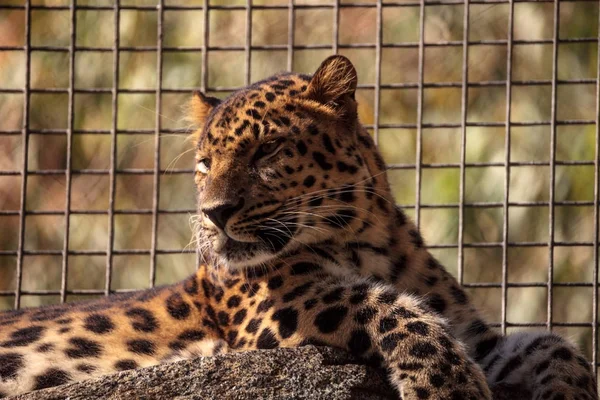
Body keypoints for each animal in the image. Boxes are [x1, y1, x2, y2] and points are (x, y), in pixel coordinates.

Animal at [0, 54, 596, 398]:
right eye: (204, 164)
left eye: (267, 150)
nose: (214, 213)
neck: (370, 241)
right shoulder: (276, 309)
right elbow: (384, 303)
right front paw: (445, 385)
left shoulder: (478, 335)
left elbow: (551, 344)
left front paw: (568, 392)